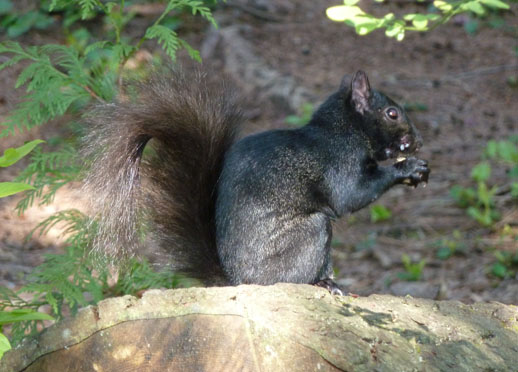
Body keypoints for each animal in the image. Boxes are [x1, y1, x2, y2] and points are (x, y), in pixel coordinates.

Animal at [84, 67, 430, 294]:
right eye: (392, 113)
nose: (418, 141)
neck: (343, 130)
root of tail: (238, 282)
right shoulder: (339, 163)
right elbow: (351, 195)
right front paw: (409, 168)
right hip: (309, 236)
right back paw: (321, 283)